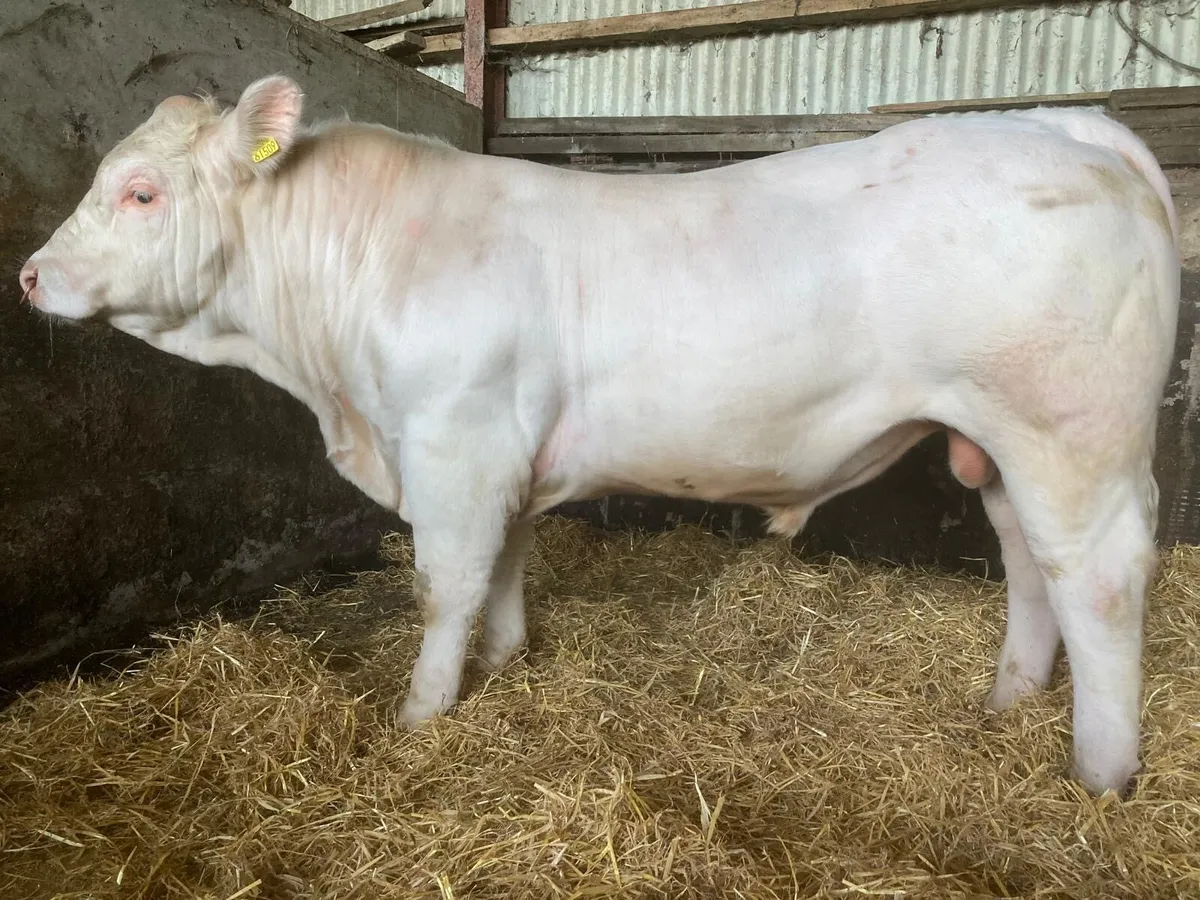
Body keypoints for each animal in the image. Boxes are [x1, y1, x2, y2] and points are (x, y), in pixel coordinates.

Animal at [19, 75, 1180, 798]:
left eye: (140, 191)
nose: (29, 275)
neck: (334, 387)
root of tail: (1064, 125)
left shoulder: (453, 439)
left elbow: (444, 583)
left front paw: (422, 715)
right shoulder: (502, 453)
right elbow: (502, 568)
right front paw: (503, 662)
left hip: (1071, 432)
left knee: (1099, 577)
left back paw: (1100, 773)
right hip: (997, 439)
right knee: (1030, 563)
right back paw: (1006, 700)